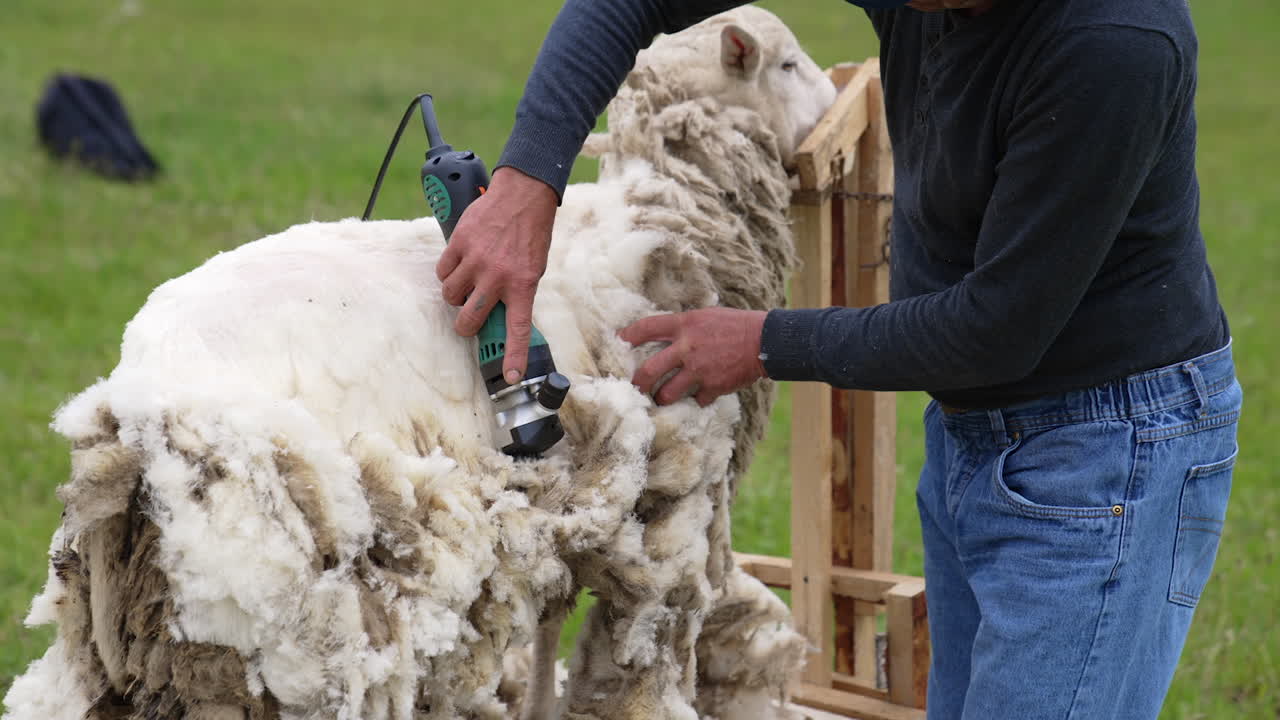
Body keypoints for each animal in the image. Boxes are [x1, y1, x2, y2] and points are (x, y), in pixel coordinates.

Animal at [3, 6, 836, 720]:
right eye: (790, 63)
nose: (836, 97)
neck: (667, 217)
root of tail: (136, 406)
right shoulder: (676, 513)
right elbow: (643, 669)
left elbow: (547, 651)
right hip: (297, 627)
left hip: (117, 633)